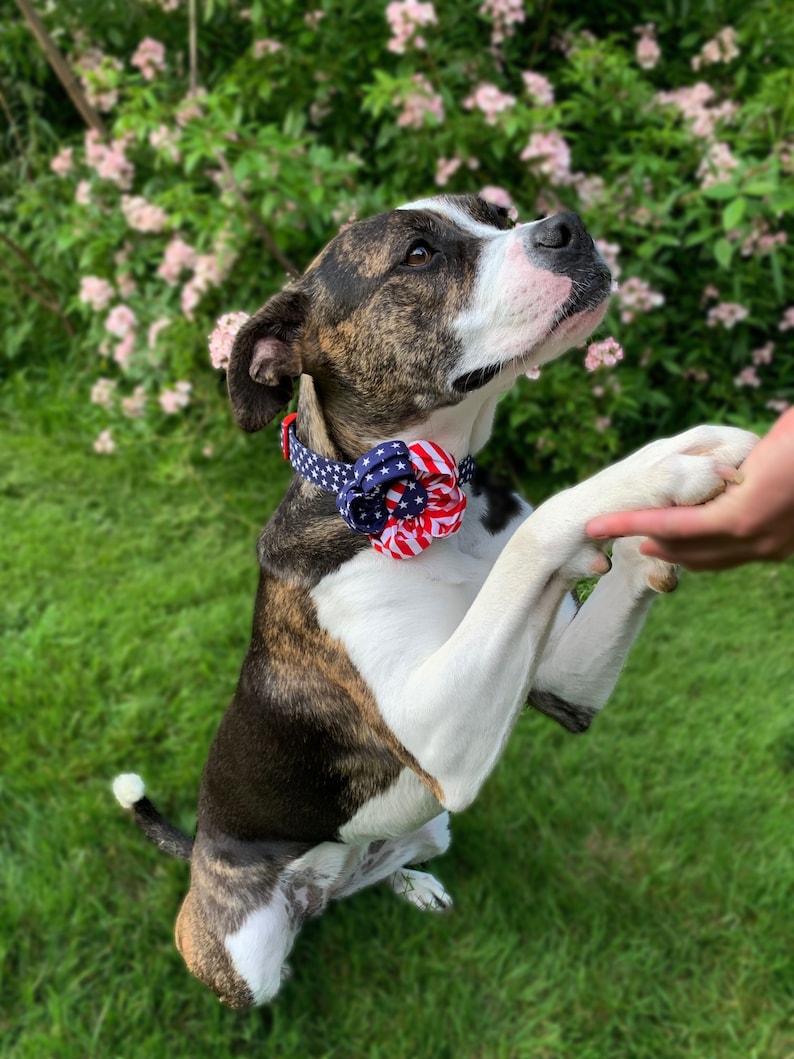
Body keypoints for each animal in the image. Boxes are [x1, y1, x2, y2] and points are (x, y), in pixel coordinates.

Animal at [113, 192, 758, 1008]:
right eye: (418, 254)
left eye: (498, 213)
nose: (568, 228)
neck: (440, 494)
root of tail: (201, 850)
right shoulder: (439, 733)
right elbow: (541, 531)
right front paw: (655, 465)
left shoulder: (557, 684)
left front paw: (658, 518)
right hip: (241, 952)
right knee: (274, 956)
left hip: (429, 828)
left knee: (372, 875)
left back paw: (409, 885)